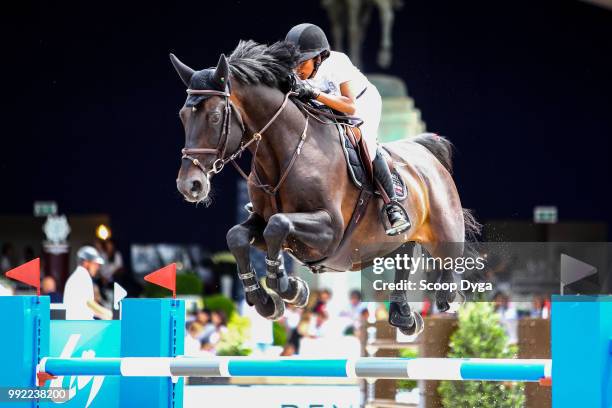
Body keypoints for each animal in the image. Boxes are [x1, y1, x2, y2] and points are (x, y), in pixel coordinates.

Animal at [171, 39, 478, 336]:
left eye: (214, 116)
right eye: (182, 116)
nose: (190, 185)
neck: (286, 154)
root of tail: (426, 153)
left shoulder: (331, 229)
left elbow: (279, 225)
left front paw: (289, 287)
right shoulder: (260, 220)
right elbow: (237, 236)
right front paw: (267, 300)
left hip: (445, 233)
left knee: (449, 271)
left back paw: (446, 298)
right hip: (390, 241)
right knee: (404, 253)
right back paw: (403, 316)